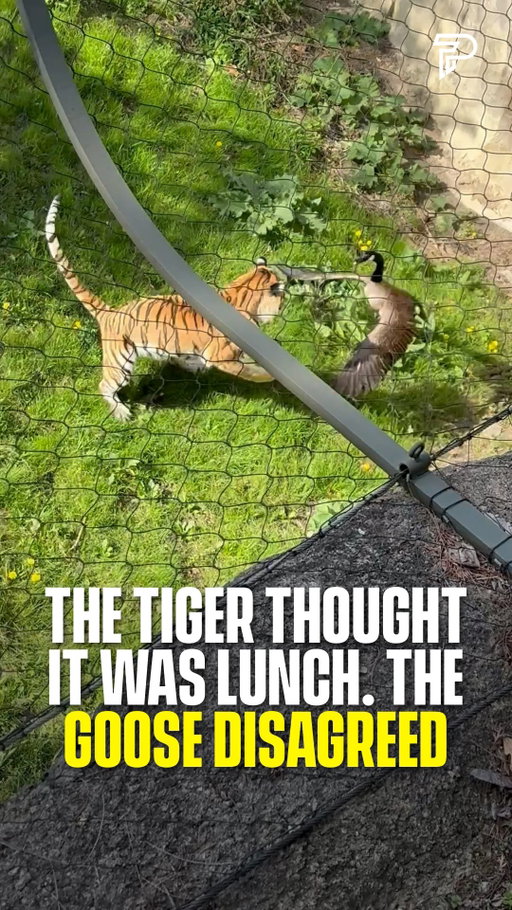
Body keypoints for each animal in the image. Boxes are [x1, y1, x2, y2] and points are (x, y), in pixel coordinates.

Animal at [45, 196, 285, 421]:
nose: (283, 305)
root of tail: (110, 312)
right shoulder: (222, 357)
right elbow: (250, 371)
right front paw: (270, 378)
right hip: (120, 361)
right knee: (105, 384)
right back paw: (121, 412)